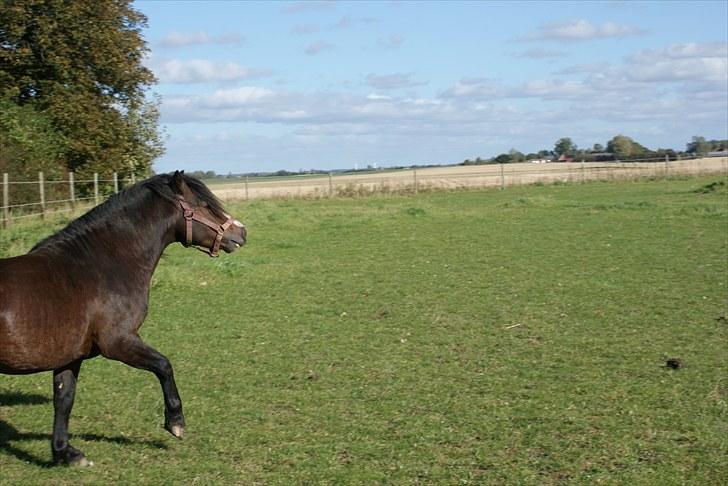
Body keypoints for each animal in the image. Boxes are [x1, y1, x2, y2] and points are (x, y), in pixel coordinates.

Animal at [0, 171, 246, 468]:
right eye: (204, 205)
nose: (241, 232)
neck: (100, 267)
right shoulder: (117, 343)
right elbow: (164, 366)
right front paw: (176, 422)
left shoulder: (69, 357)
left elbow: (64, 399)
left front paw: (65, 453)